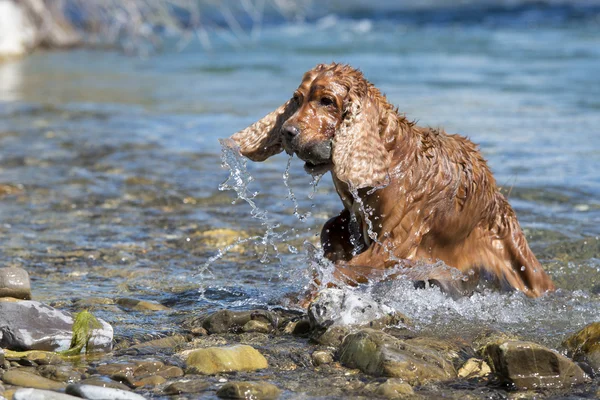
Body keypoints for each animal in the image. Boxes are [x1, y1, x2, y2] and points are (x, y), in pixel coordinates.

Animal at [227, 62, 556, 298]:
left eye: (326, 101)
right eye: (297, 99)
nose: (288, 132)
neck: (390, 158)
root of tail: (496, 196)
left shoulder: (396, 244)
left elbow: (346, 270)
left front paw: (311, 292)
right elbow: (331, 229)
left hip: (519, 262)